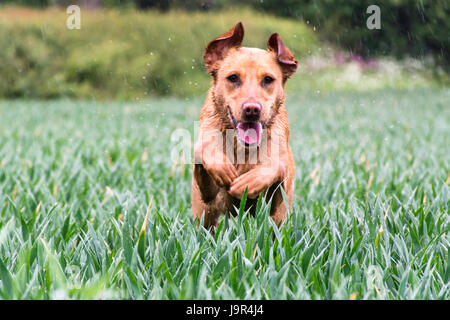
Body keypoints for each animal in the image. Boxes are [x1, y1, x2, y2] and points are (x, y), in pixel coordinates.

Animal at [191, 21, 298, 228]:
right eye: (233, 77)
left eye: (268, 79)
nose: (252, 109)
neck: (242, 149)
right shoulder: (209, 195)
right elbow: (201, 148)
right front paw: (222, 168)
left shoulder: (278, 201)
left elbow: (278, 165)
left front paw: (249, 183)